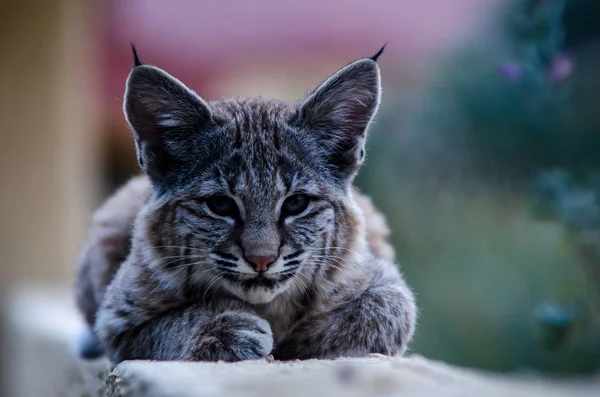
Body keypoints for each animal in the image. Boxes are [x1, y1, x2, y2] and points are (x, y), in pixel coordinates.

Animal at [75, 45, 418, 362]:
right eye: (220, 205)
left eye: (296, 203)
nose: (262, 261)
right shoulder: (116, 321)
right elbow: (171, 323)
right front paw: (224, 328)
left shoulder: (383, 280)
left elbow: (388, 309)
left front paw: (292, 343)